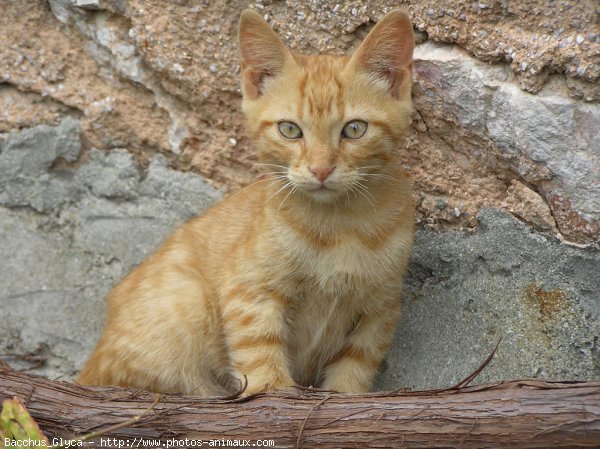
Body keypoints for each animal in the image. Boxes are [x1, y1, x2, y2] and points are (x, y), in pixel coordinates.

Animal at [78, 7, 418, 396]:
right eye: (290, 130)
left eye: (355, 129)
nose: (320, 169)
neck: (340, 226)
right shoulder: (249, 291)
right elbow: (260, 355)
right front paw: (276, 391)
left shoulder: (379, 311)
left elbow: (354, 370)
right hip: (183, 307)